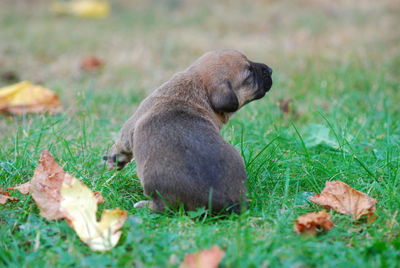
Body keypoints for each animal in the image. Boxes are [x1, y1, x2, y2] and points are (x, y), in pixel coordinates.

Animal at [103, 49, 274, 214]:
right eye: (250, 73)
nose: (271, 69)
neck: (197, 85)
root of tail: (228, 203)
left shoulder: (130, 128)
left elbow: (121, 144)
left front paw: (114, 160)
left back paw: (142, 206)